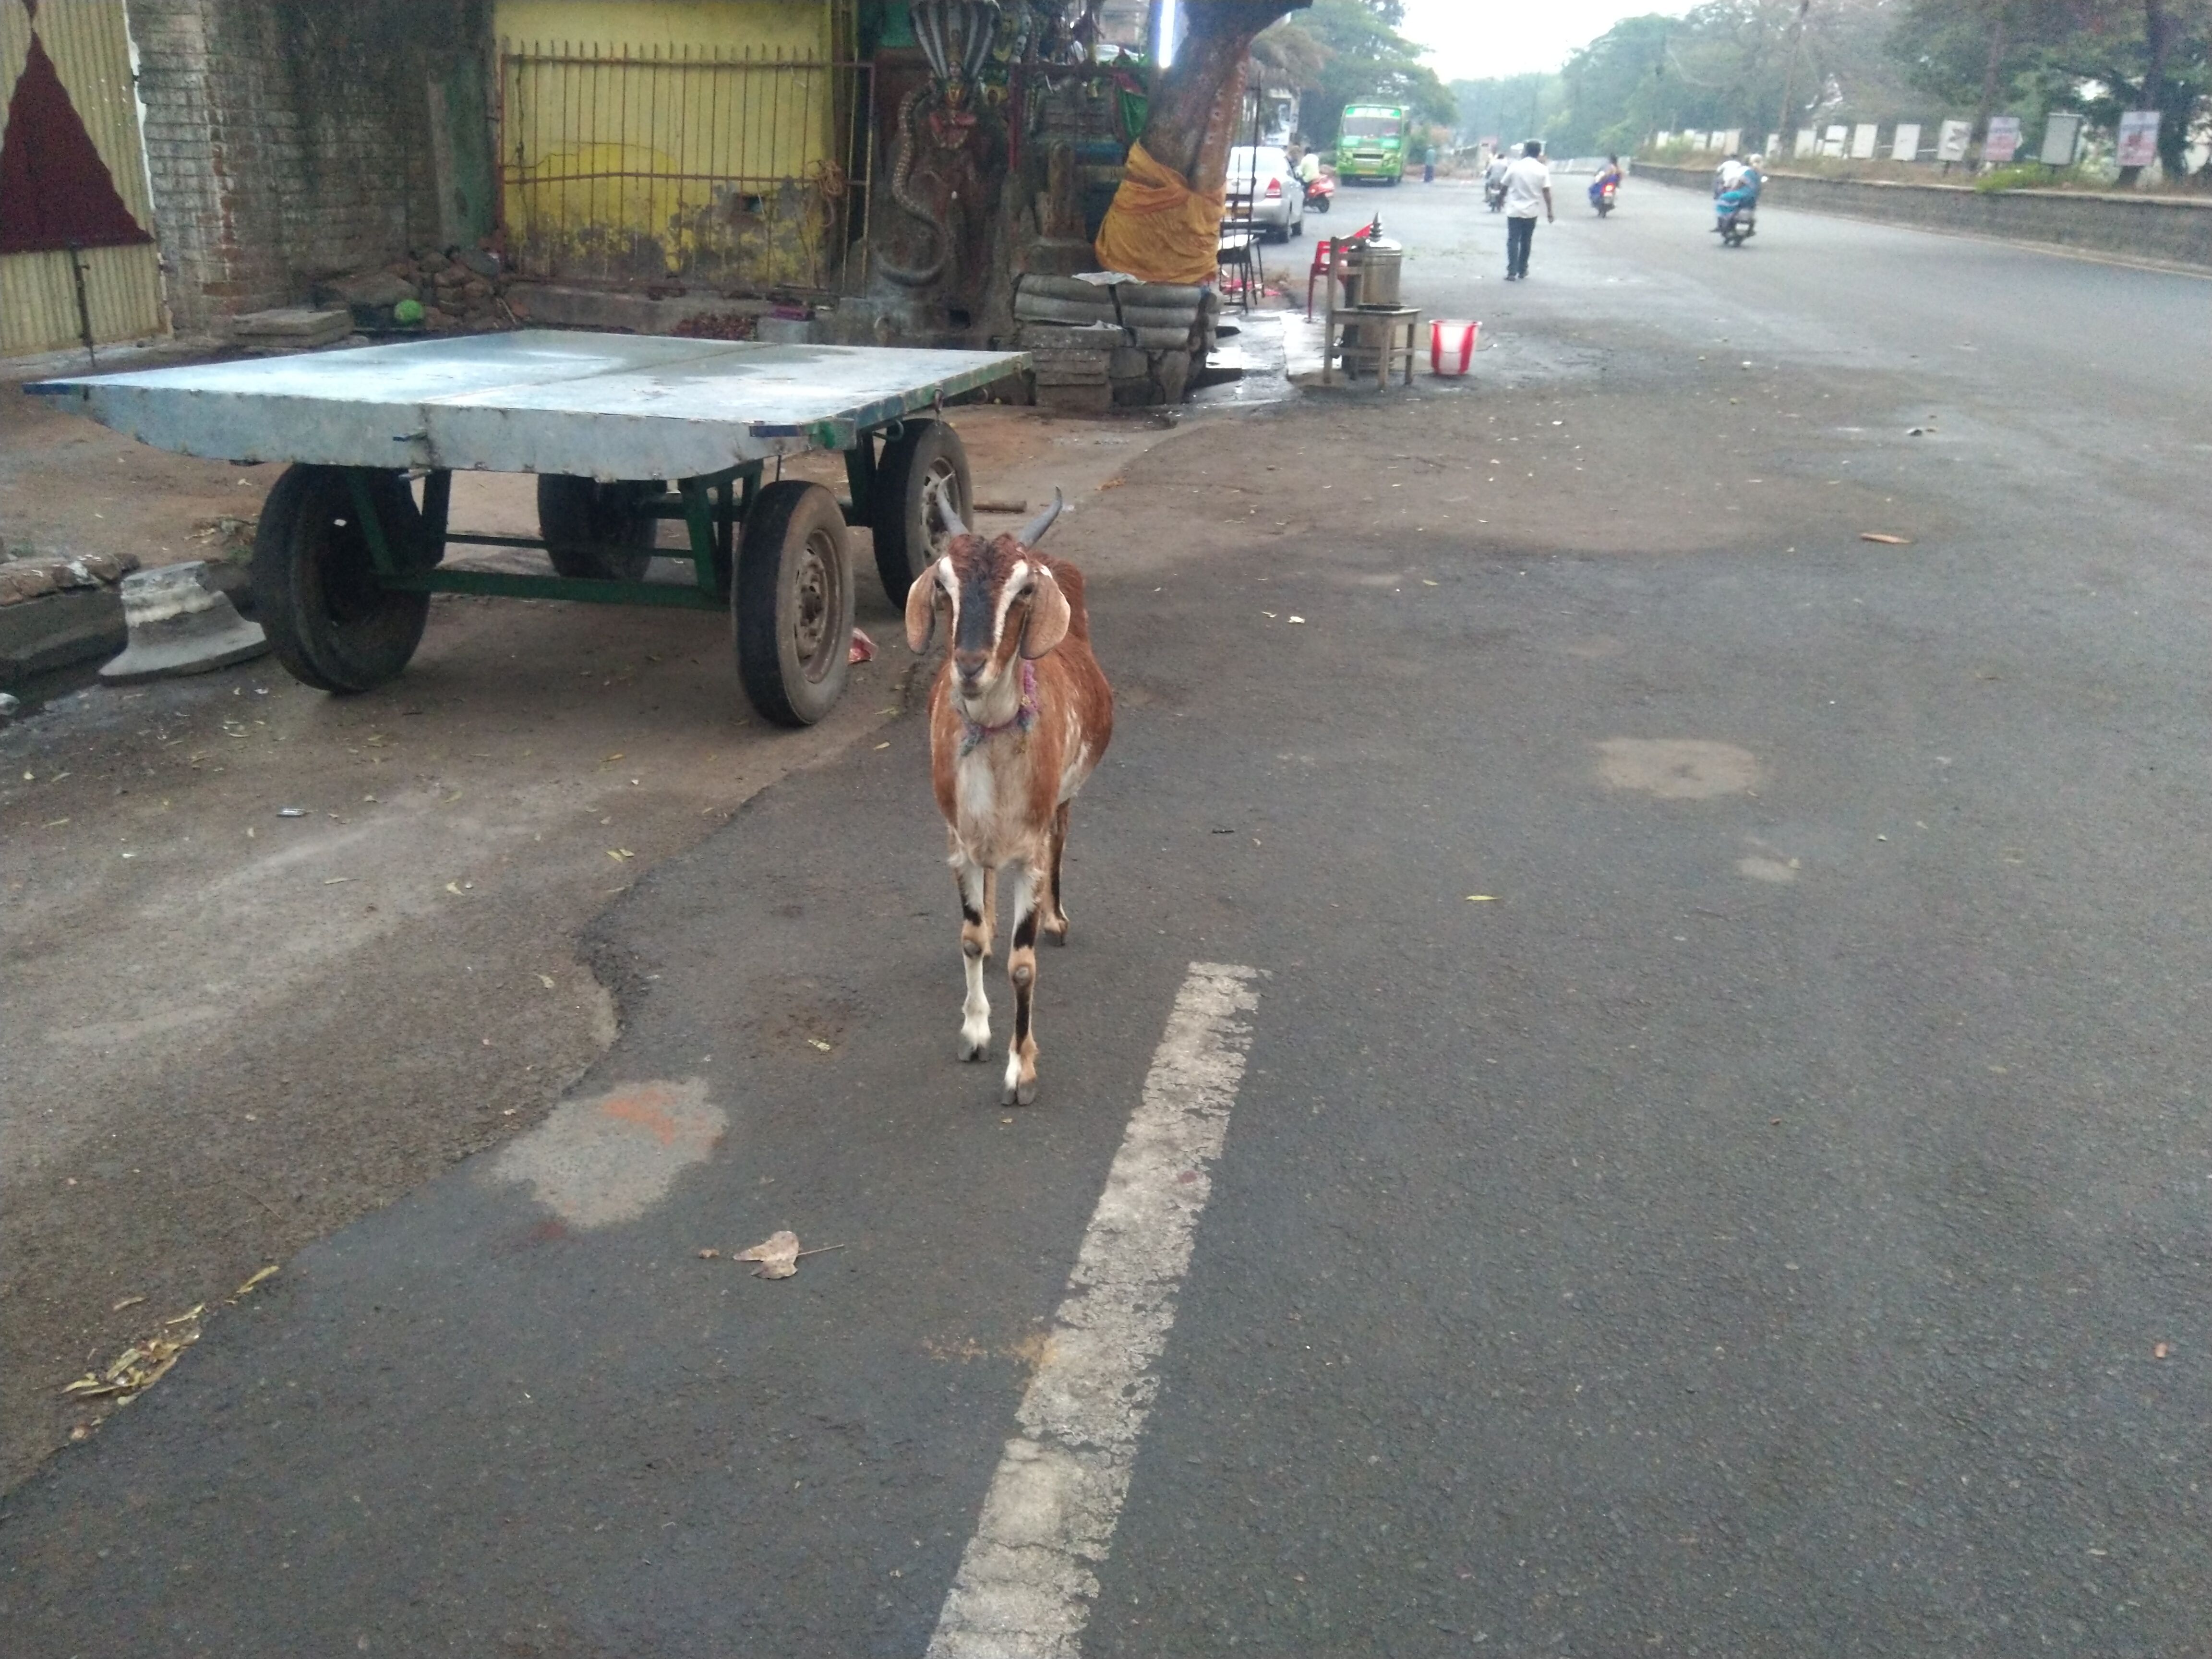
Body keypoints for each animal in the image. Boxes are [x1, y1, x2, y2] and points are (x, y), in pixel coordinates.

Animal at [905, 490, 1113, 1105]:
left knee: (1065, 836)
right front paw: (975, 1033)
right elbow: (971, 938)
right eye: (942, 584)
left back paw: (1057, 921)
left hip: (1065, 798)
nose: (970, 666)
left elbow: (1024, 966)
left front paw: (1021, 1070)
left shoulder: (1031, 849)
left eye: (1023, 591)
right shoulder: (959, 839)